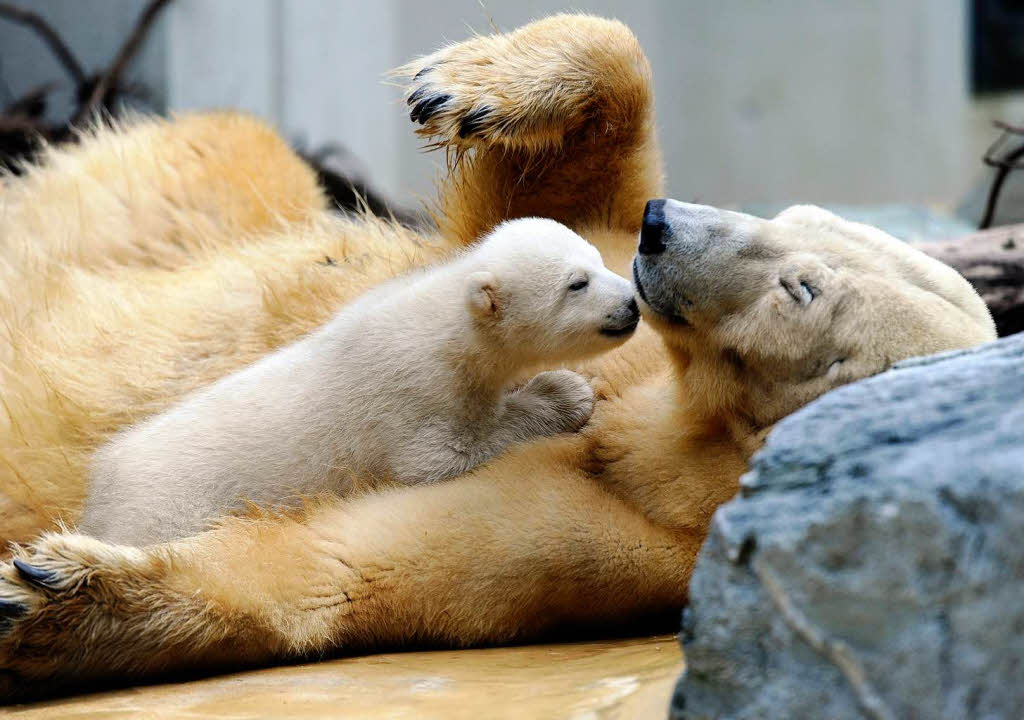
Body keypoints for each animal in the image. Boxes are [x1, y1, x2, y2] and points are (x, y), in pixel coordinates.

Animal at [0, 15, 995, 692]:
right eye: (793, 221)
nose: (665, 233)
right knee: (226, 147)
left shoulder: (616, 537)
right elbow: (551, 194)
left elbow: (341, 561)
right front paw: (470, 85)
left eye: (803, 290)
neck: (667, 423)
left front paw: (52, 593)